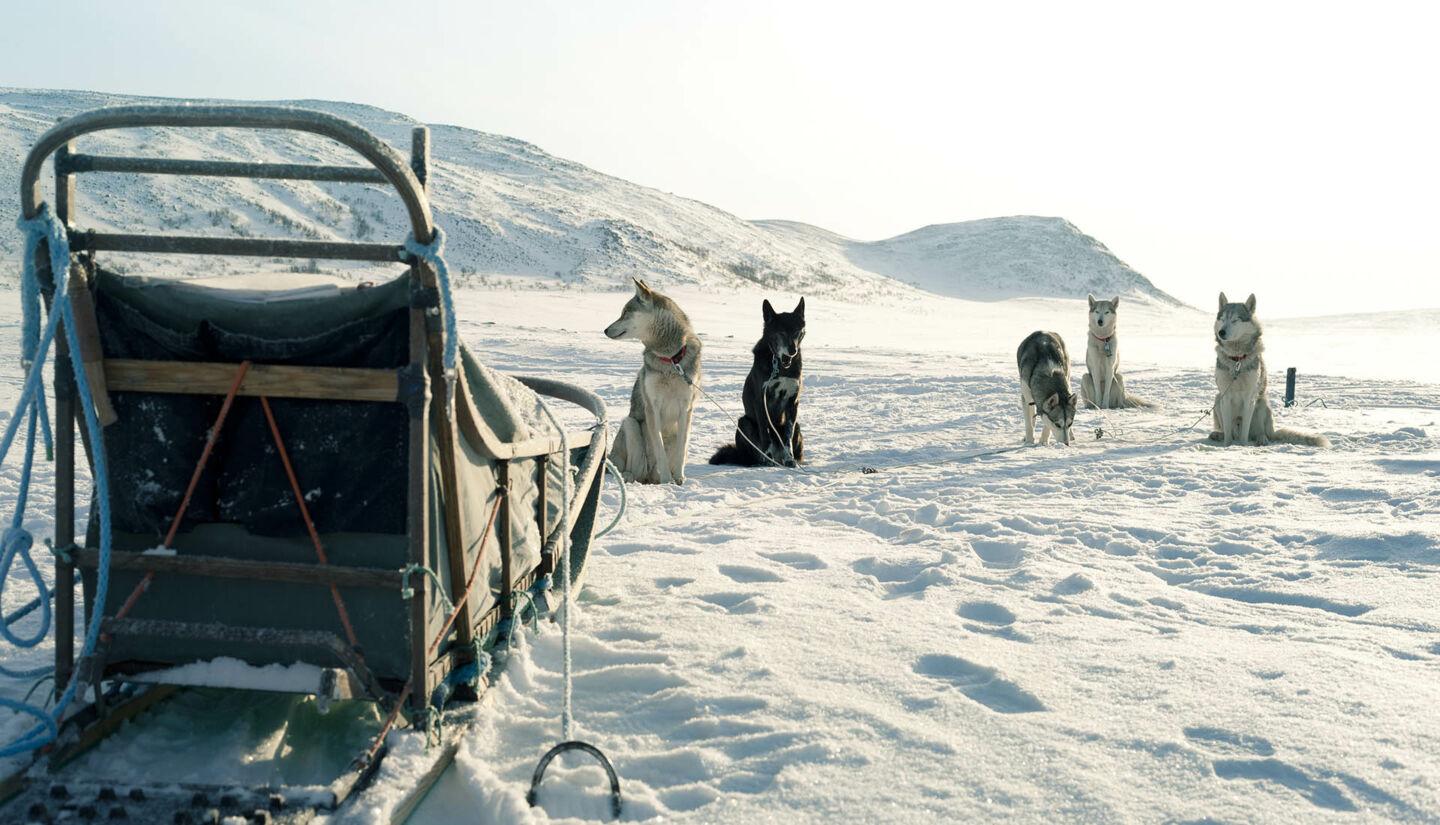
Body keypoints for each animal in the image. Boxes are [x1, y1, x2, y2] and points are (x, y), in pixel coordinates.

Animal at [601, 277, 702, 483]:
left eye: (625, 312)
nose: (605, 330)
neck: (670, 359)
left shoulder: (686, 408)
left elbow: (681, 449)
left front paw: (678, 479)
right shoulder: (652, 407)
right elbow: (659, 449)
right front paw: (667, 481)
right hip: (631, 425)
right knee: (631, 471)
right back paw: (631, 476)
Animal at [711, 298, 812, 466]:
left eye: (797, 331)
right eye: (781, 332)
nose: (792, 351)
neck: (780, 366)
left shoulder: (793, 402)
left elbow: (788, 437)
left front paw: (790, 460)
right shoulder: (761, 401)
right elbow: (766, 434)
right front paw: (767, 459)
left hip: (798, 426)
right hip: (744, 423)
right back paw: (762, 460)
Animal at [1203, 292, 1324, 446]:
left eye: (1235, 320)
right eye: (1223, 319)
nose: (1221, 332)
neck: (1237, 360)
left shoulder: (1250, 397)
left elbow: (1244, 435)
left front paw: (1242, 447)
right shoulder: (1225, 395)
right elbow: (1228, 435)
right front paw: (1227, 446)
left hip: (1261, 403)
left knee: (1258, 432)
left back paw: (1262, 438)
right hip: (1218, 399)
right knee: (1229, 431)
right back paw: (1218, 435)